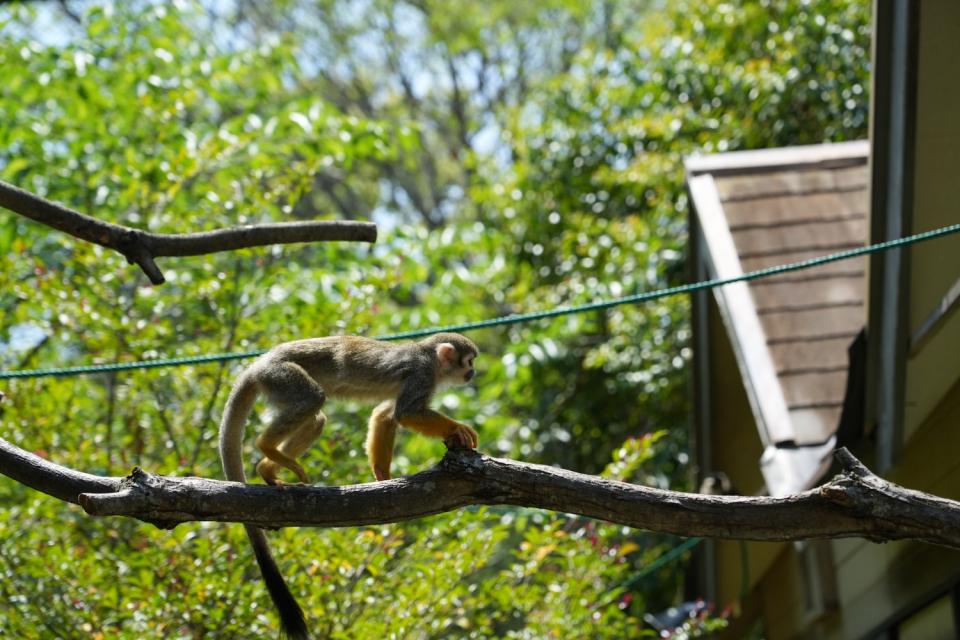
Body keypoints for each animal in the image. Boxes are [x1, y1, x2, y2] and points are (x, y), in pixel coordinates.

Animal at [218, 332, 480, 640]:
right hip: (280, 375)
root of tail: (259, 363)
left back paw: (267, 469)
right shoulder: (422, 375)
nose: (473, 372)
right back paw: (266, 447)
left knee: (316, 418)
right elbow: (407, 413)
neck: (432, 360)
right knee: (312, 398)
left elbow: (385, 414)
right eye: (469, 361)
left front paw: (382, 475)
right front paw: (457, 429)